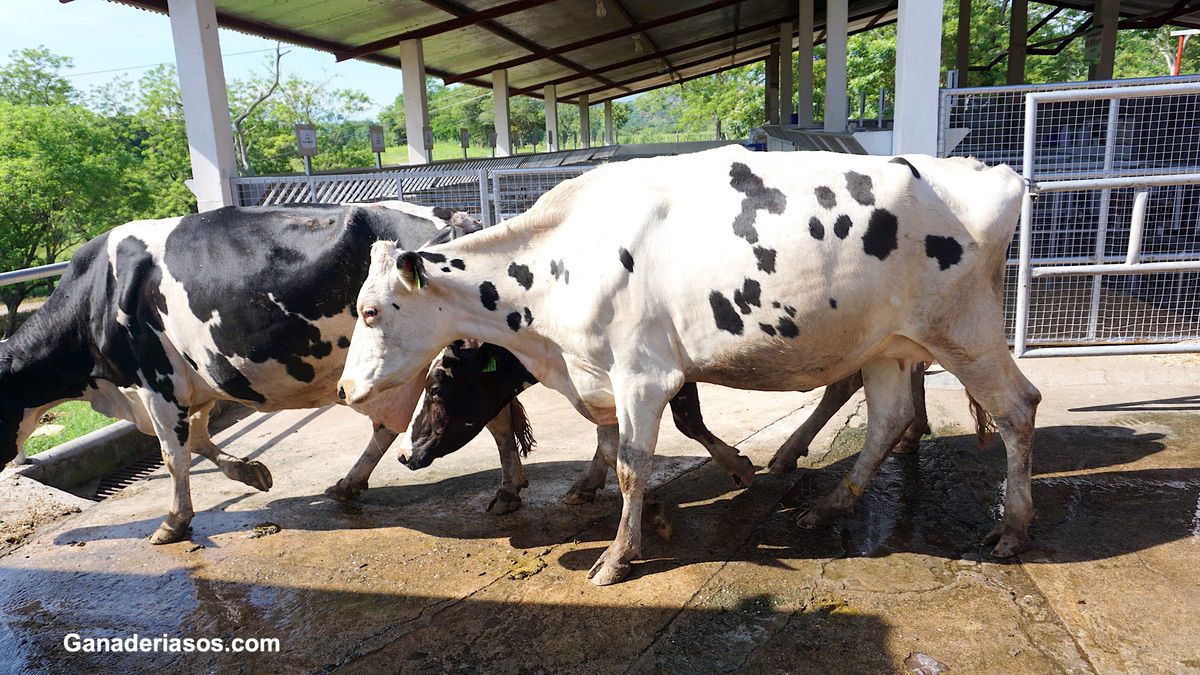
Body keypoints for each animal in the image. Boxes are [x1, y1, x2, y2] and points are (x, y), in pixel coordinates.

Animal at [0, 199, 477, 540]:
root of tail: (453, 216)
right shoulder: (196, 382)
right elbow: (198, 440)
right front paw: (250, 472)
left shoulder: (155, 382)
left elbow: (173, 455)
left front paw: (173, 522)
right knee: (388, 424)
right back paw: (347, 484)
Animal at [338, 147, 1041, 583]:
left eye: (370, 311)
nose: (344, 388)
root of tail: (991, 174)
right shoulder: (609, 375)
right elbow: (617, 447)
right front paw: (643, 515)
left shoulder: (642, 372)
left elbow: (634, 461)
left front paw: (618, 557)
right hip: (888, 345)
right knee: (888, 420)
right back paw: (827, 506)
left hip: (965, 331)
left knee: (1018, 408)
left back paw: (1012, 529)